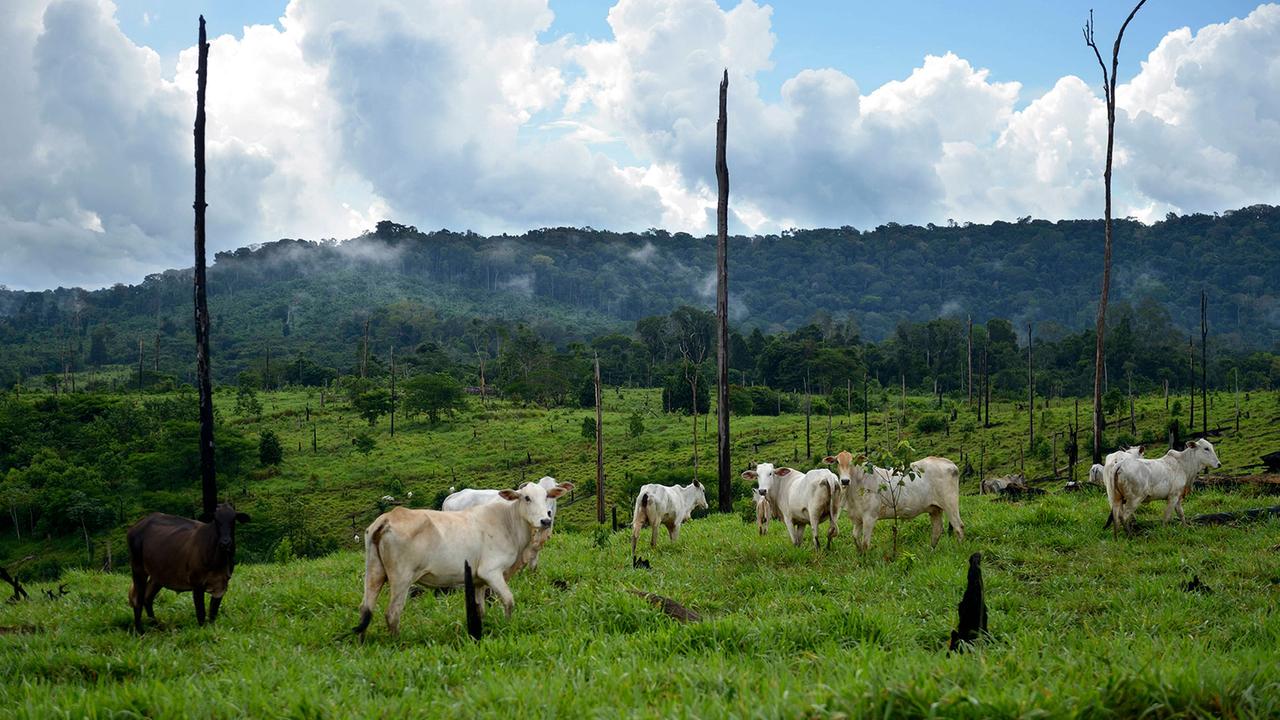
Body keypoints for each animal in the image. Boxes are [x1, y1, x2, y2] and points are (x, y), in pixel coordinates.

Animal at [126, 502, 249, 630]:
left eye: (233, 520)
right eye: (216, 520)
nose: (225, 543)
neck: (218, 561)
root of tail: (136, 525)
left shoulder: (222, 584)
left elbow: (213, 613)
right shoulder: (197, 583)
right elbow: (201, 613)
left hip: (158, 576)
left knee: (147, 598)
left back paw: (156, 625)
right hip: (138, 568)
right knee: (138, 599)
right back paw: (140, 630)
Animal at [353, 476, 568, 632]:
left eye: (548, 496)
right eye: (526, 497)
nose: (546, 520)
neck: (508, 522)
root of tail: (388, 518)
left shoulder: (479, 580)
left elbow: (480, 609)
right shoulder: (492, 572)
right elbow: (508, 601)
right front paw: (509, 626)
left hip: (374, 573)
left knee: (365, 609)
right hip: (401, 579)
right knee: (392, 614)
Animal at [824, 448, 962, 548]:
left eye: (853, 462)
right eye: (837, 462)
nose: (845, 481)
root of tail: (949, 463)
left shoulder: (870, 517)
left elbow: (865, 544)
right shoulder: (858, 519)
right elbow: (855, 539)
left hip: (950, 504)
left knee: (959, 527)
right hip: (935, 509)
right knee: (937, 530)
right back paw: (931, 551)